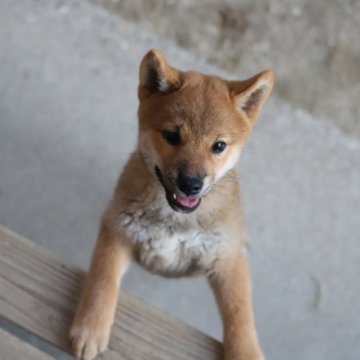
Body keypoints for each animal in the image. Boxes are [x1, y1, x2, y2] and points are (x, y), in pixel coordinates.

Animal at [69, 48, 272, 360]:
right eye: (172, 136)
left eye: (218, 146)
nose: (191, 184)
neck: (176, 221)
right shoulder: (118, 229)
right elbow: (102, 281)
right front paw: (90, 328)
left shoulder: (226, 259)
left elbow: (240, 315)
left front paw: (246, 353)